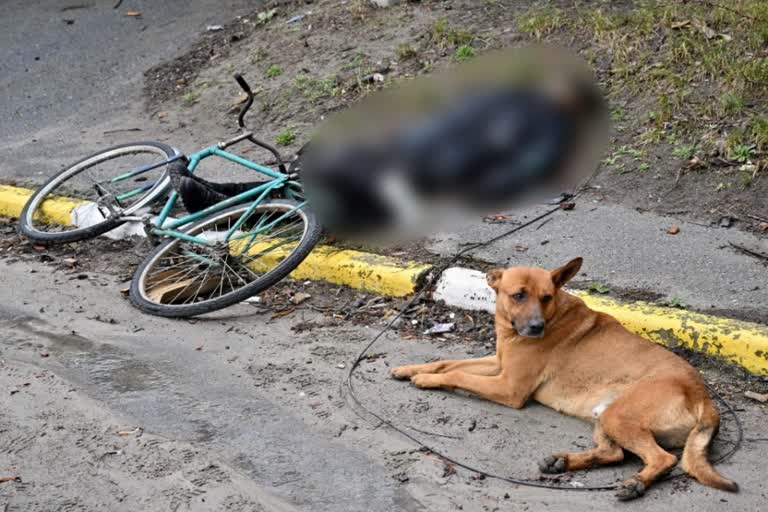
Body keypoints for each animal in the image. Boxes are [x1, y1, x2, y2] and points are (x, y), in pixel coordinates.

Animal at [392, 258, 740, 498]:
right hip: (606, 416)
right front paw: (412, 369)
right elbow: (447, 362)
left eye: (546, 297)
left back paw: (636, 484)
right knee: (614, 453)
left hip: (619, 415)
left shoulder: (508, 387)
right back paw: (563, 462)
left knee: (662, 458)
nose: (536, 328)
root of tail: (703, 396)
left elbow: (459, 374)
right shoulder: (497, 364)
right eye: (518, 295)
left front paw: (426, 380)